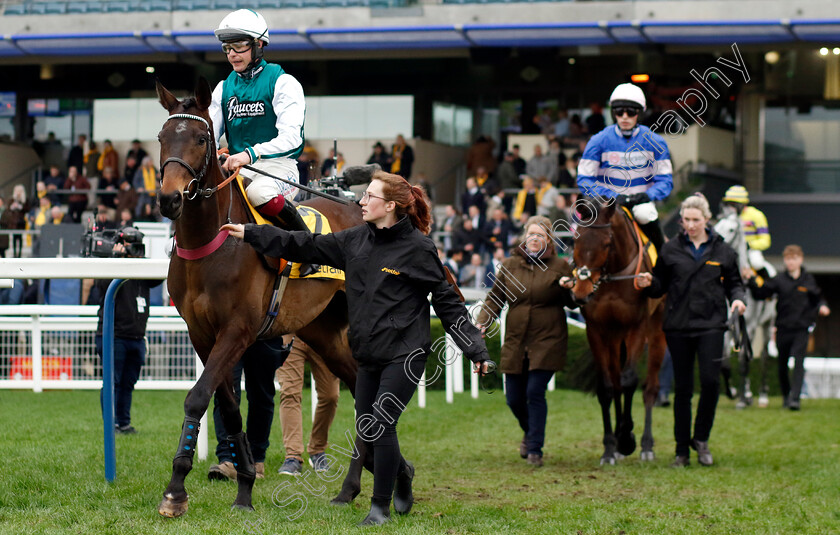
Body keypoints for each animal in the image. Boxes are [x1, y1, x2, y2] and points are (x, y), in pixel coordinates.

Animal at [155, 78, 370, 516]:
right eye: (162, 138)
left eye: (201, 139)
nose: (170, 199)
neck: (211, 245)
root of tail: (360, 207)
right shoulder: (202, 334)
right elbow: (228, 407)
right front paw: (244, 486)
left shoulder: (237, 330)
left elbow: (197, 398)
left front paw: (176, 491)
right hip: (323, 331)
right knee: (358, 385)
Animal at [576, 201, 668, 464]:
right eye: (575, 239)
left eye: (607, 242)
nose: (581, 291)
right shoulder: (596, 330)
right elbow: (607, 387)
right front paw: (610, 446)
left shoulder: (636, 327)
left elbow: (629, 381)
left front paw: (628, 438)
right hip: (614, 338)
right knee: (616, 384)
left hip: (656, 332)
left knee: (650, 387)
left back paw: (646, 445)